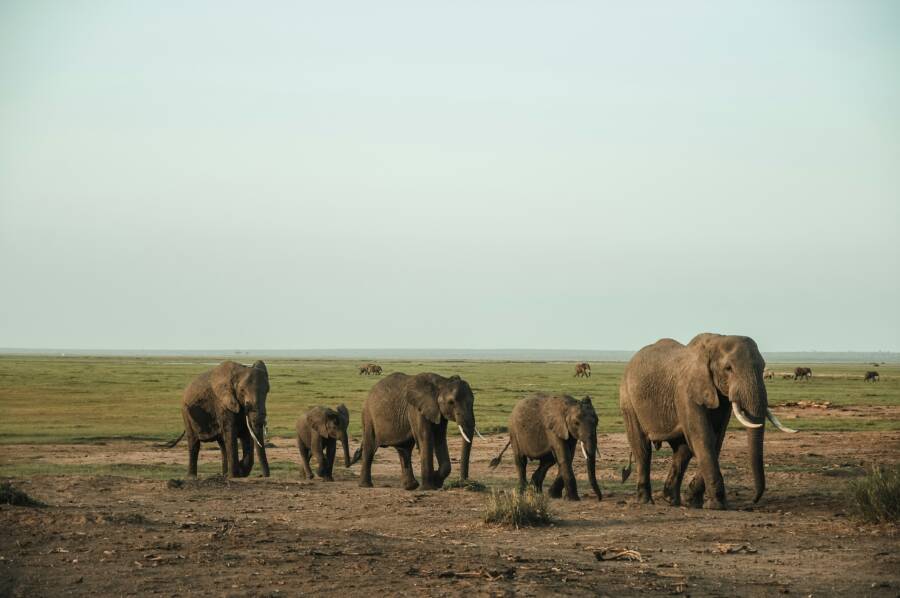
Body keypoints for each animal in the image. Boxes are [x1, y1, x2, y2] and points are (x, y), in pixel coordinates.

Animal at [619, 334, 796, 510]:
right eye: (728, 368)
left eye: (762, 367)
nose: (752, 501)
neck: (715, 342)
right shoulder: (686, 392)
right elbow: (703, 438)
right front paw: (718, 505)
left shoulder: (721, 398)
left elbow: (716, 440)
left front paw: (694, 501)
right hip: (628, 399)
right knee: (642, 449)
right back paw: (645, 501)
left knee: (682, 451)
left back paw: (671, 500)